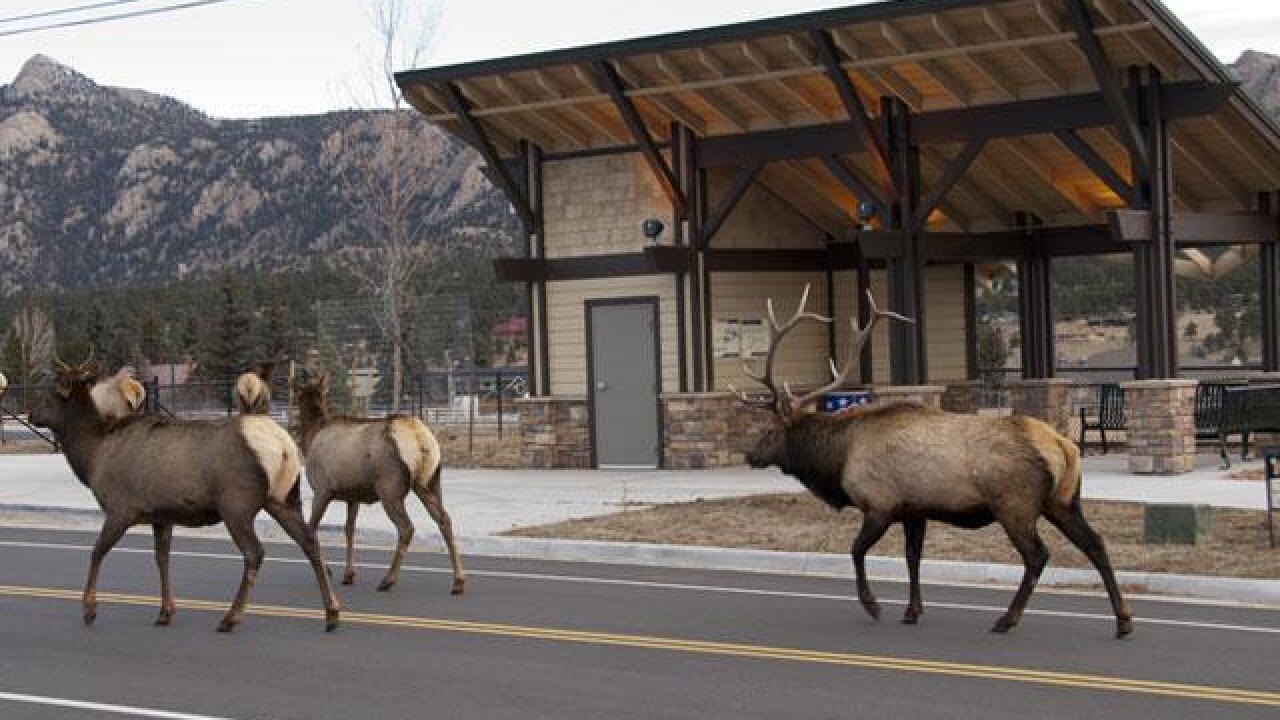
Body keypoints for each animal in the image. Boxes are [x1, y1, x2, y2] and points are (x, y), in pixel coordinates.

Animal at [30, 359, 342, 633]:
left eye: (48, 397)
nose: (30, 414)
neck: (92, 456)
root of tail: (285, 447)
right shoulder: (161, 515)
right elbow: (162, 559)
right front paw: (165, 612)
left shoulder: (120, 509)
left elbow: (97, 552)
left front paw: (89, 609)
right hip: (285, 498)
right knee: (310, 541)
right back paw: (332, 614)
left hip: (236, 505)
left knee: (255, 552)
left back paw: (230, 618)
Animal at [294, 373, 465, 595]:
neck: (310, 437)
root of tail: (419, 440)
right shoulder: (353, 496)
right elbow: (349, 530)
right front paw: (349, 574)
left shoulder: (322, 489)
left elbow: (311, 528)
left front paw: (328, 570)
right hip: (431, 481)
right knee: (444, 519)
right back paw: (458, 581)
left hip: (389, 489)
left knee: (406, 528)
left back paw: (388, 580)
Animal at [732, 286, 1132, 638]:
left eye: (770, 431)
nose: (749, 454)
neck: (839, 459)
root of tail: (1062, 446)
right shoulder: (915, 509)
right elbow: (913, 558)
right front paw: (912, 611)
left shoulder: (880, 503)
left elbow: (856, 550)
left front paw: (874, 605)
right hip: (1063, 501)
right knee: (1095, 544)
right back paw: (1123, 621)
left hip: (1014, 504)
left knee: (1038, 555)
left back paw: (1007, 619)